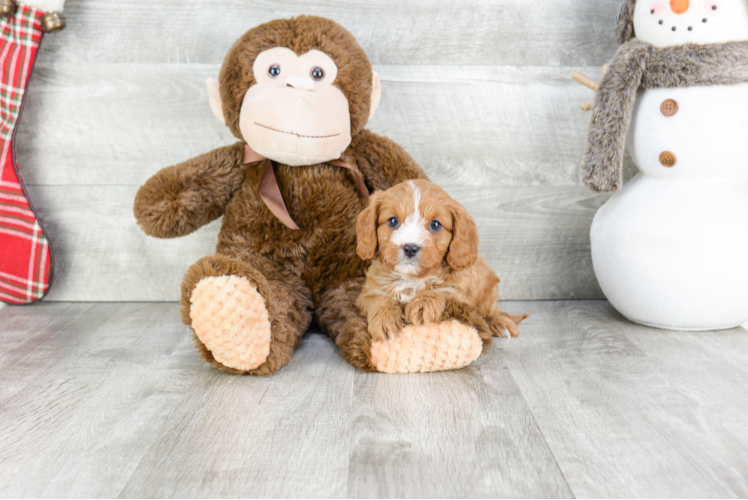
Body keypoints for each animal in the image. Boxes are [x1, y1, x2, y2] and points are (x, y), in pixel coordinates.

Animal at [356, 180, 524, 344]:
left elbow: (445, 291)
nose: (410, 248)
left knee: (491, 311)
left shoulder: (462, 295)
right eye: (393, 221)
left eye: (435, 224)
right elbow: (377, 299)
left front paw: (423, 303)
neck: (412, 278)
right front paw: (384, 319)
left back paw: (500, 323)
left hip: (489, 290)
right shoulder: (367, 292)